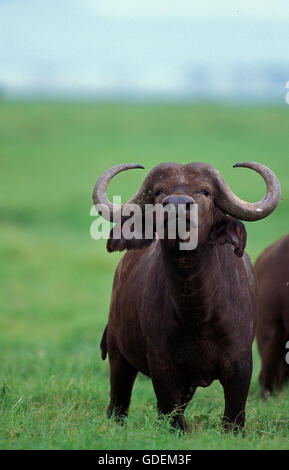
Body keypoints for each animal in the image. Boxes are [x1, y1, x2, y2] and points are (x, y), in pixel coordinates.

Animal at [92, 162, 280, 434]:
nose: (178, 204)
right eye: (159, 191)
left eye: (205, 191)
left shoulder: (241, 364)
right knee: (118, 404)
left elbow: (233, 418)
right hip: (118, 354)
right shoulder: (162, 366)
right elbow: (172, 417)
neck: (196, 310)